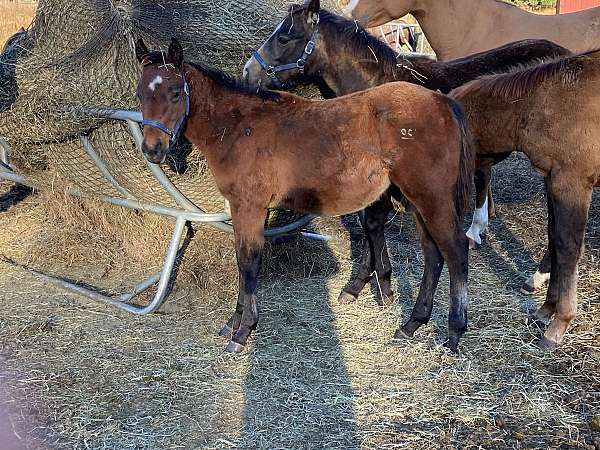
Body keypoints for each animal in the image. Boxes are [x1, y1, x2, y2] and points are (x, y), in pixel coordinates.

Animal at [136, 38, 474, 354]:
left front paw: (242, 331)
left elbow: (248, 262)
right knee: (433, 254)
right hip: (417, 200)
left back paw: (453, 334)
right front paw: (234, 322)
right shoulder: (246, 208)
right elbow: (243, 260)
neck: (238, 128)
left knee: (455, 250)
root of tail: (443, 101)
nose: (153, 150)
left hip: (431, 197)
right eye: (140, 95)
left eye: (175, 93)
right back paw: (411, 324)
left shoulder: (250, 206)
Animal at [243, 0, 572, 302]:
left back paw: (537, 278)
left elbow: (373, 223)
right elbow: (369, 223)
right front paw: (368, 283)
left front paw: (373, 284)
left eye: (284, 38)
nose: (248, 73)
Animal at [452, 51, 600, 350]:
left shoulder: (573, 183)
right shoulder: (552, 180)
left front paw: (559, 324)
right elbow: (554, 237)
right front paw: (546, 309)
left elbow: (568, 248)